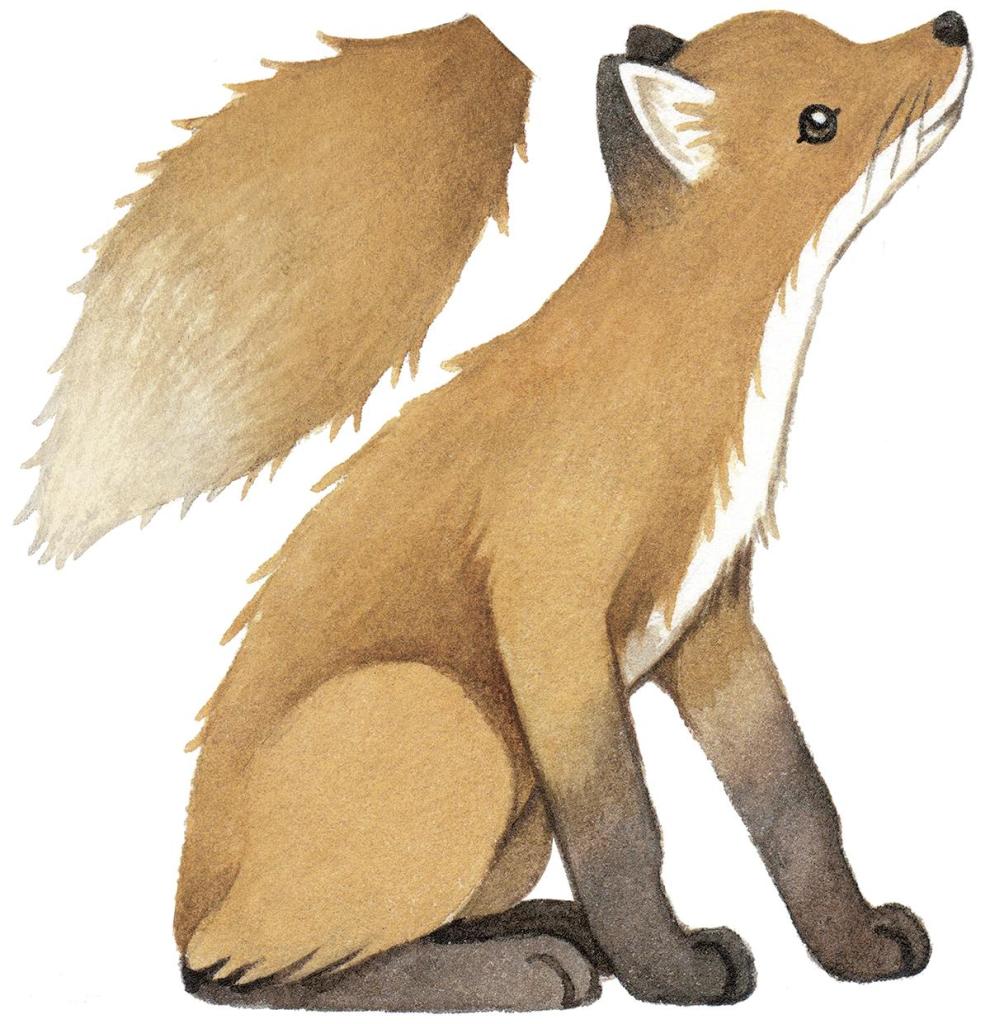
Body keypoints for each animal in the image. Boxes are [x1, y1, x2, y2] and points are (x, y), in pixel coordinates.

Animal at [20, 8, 972, 1012]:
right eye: (818, 120)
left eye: (846, 40)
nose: (950, 25)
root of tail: (184, 907)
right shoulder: (549, 610)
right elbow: (623, 828)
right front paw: (670, 973)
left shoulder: (711, 617)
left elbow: (796, 804)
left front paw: (855, 947)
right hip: (452, 727)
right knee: (255, 978)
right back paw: (525, 970)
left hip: (510, 819)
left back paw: (551, 932)